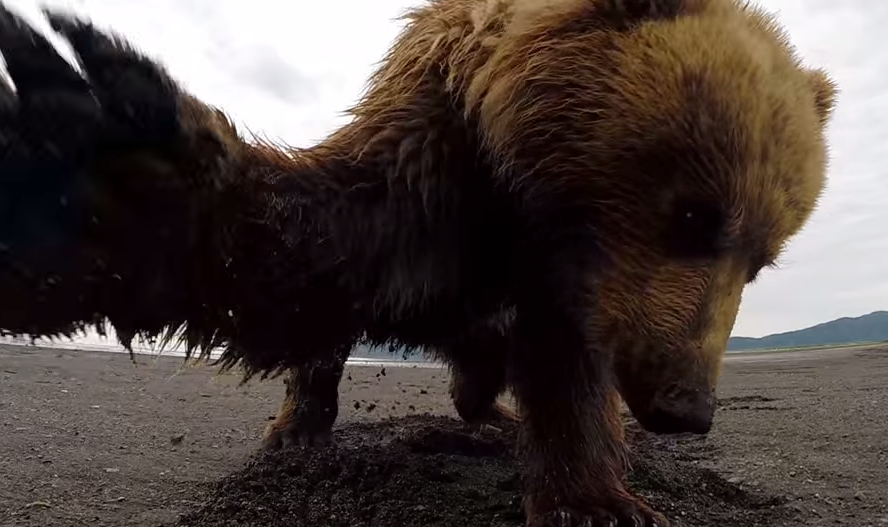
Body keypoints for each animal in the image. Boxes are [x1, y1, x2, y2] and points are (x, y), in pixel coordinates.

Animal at [0, 0, 835, 525]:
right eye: (693, 214)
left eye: (762, 260)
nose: (686, 406)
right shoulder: (433, 153)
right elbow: (308, 258)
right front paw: (87, 159)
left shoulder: (570, 277)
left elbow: (569, 366)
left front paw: (600, 499)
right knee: (328, 346)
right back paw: (301, 425)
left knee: (481, 365)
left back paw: (490, 412)